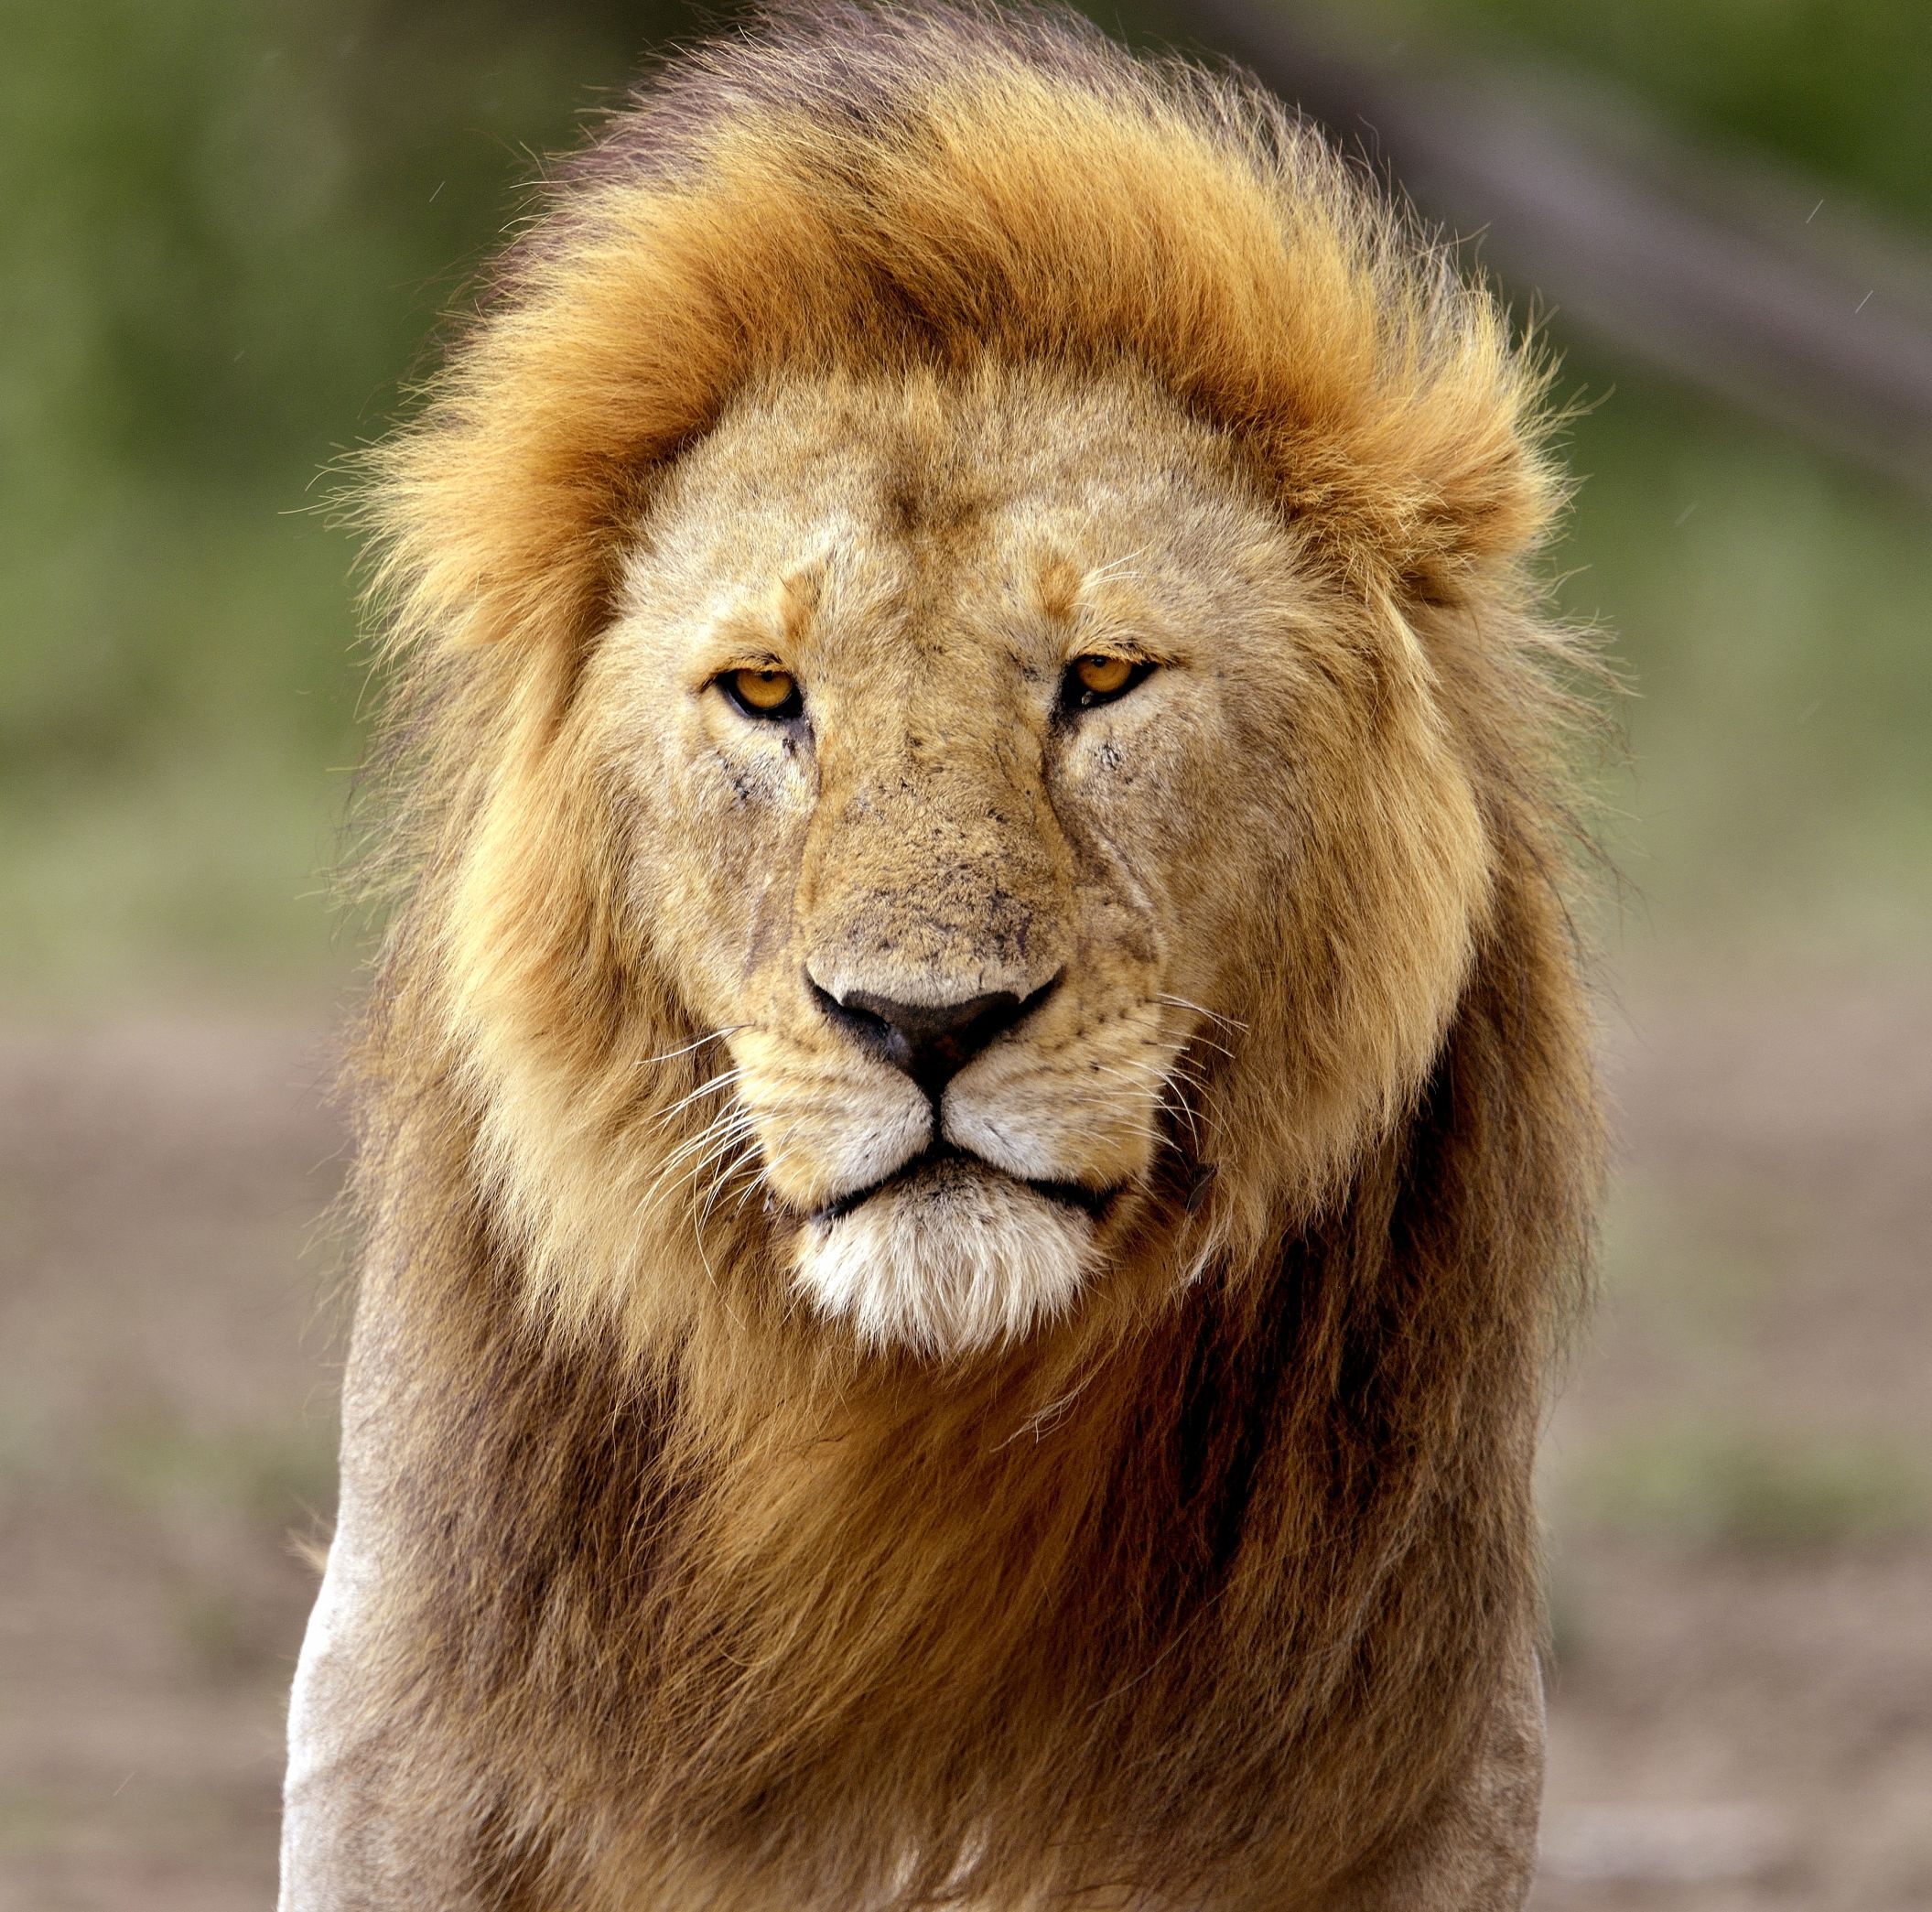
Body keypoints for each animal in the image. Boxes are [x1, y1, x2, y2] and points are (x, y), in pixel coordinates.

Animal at [280, 6, 1603, 1908]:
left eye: (1102, 676)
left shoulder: (1410, 1779)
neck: (908, 1442)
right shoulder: (394, 1734)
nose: (927, 1023)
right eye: (766, 691)